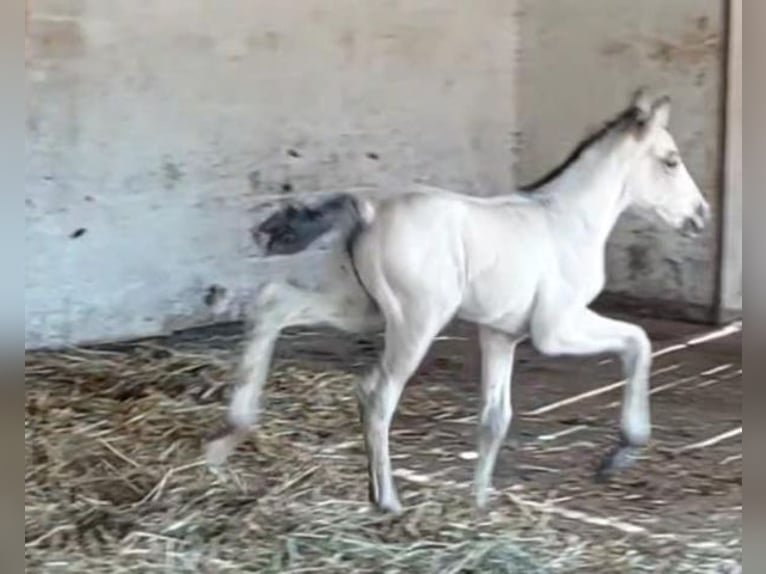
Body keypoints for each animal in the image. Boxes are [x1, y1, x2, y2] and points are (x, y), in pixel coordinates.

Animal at [207, 92, 712, 516]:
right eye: (671, 161)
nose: (701, 216)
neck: (568, 220)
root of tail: (370, 210)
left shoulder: (501, 333)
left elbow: (495, 419)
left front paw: (480, 505)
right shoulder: (556, 328)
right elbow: (638, 341)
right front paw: (621, 453)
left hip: (361, 308)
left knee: (275, 303)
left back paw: (227, 439)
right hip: (415, 320)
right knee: (376, 394)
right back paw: (387, 500)